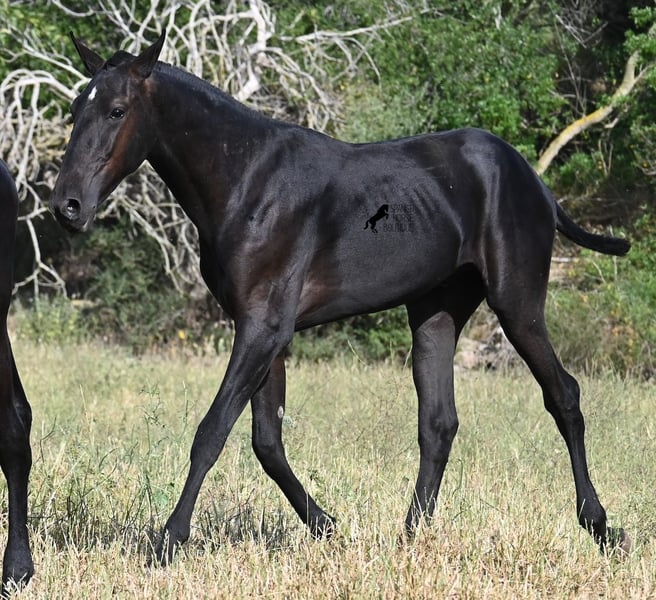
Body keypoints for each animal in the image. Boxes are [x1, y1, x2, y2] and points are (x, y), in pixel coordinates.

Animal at [50, 32, 631, 564]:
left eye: (117, 110)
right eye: (77, 109)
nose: (66, 206)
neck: (246, 182)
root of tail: (535, 182)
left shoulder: (262, 328)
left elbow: (212, 431)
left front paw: (167, 543)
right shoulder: (264, 331)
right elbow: (267, 441)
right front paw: (328, 526)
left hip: (517, 303)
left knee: (564, 395)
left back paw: (601, 527)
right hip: (435, 312)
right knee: (438, 423)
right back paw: (410, 539)